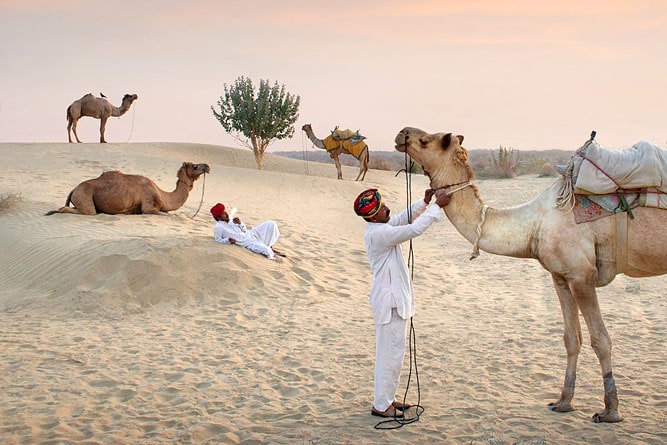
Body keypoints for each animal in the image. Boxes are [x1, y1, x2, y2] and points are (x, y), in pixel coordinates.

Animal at [45, 161, 209, 215]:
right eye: (194, 166)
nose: (207, 166)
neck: (163, 194)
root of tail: (73, 189)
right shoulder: (148, 207)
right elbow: (168, 215)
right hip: (84, 196)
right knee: (83, 211)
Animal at [394, 125, 667, 424]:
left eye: (425, 140)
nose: (401, 133)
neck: (535, 222)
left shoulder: (582, 276)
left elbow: (601, 340)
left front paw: (611, 411)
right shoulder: (561, 276)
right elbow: (572, 339)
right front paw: (563, 402)